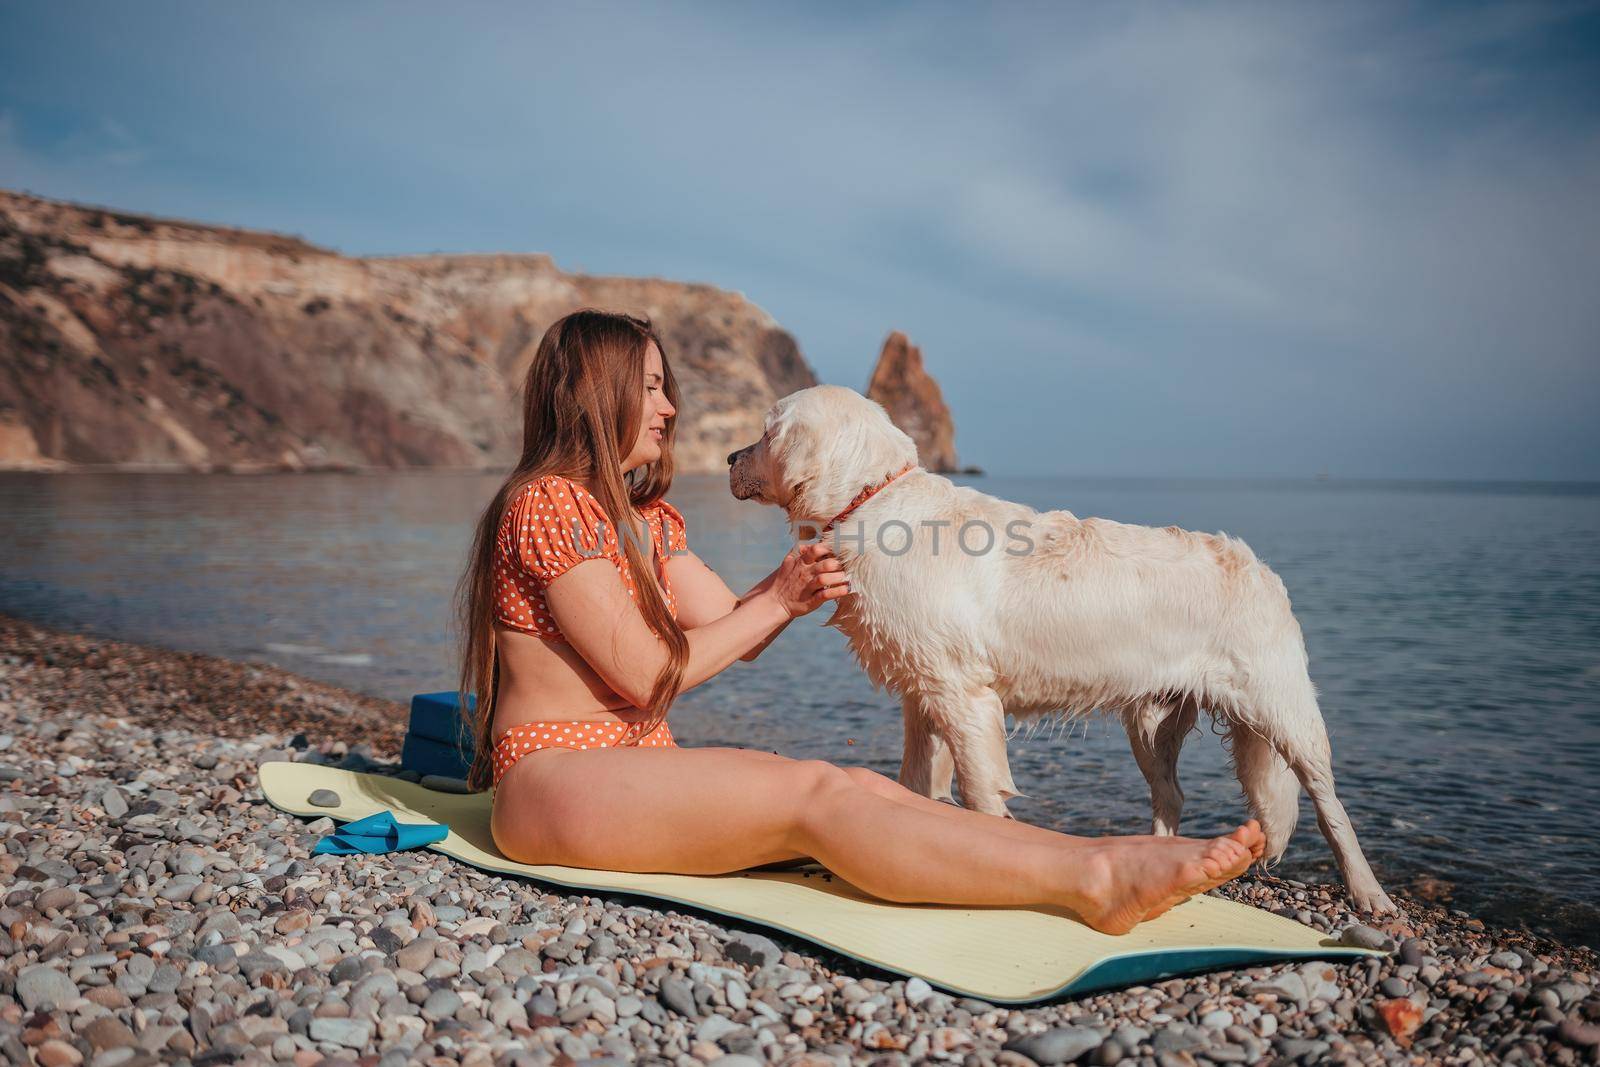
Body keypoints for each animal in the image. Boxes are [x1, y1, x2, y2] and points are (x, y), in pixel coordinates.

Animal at [732, 388, 1395, 915]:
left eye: (767, 431)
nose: (732, 459)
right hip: (1150, 721)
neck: (872, 501)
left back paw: (1368, 893)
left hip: (1280, 707)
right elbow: (919, 784)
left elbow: (979, 792)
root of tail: (1262, 569)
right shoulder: (925, 693)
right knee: (1172, 794)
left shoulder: (963, 696)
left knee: (1328, 800)